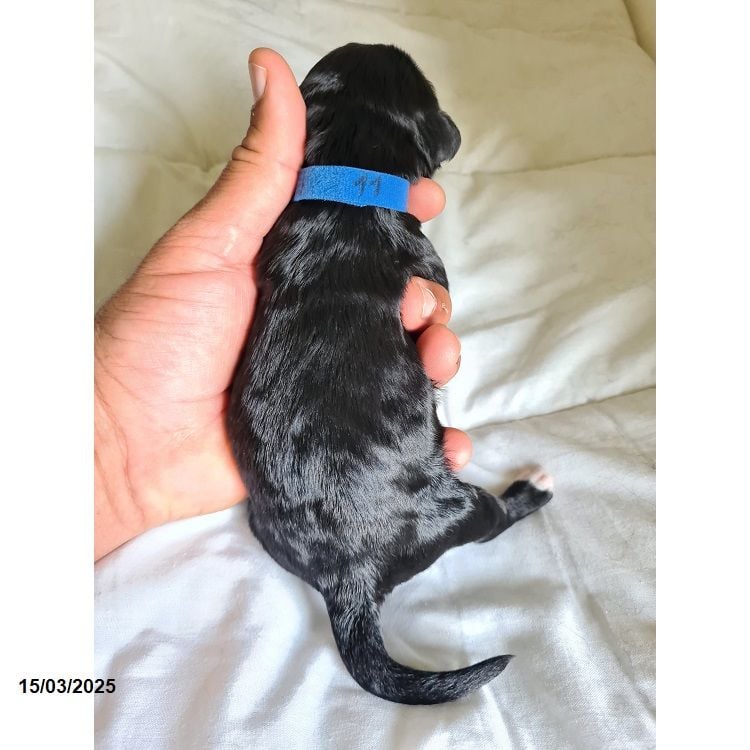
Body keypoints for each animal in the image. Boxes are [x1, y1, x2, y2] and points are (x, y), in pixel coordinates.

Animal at [227, 43, 553, 705]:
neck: (351, 175)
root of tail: (347, 578)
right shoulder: (429, 267)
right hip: (459, 506)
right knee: (492, 519)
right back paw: (529, 491)